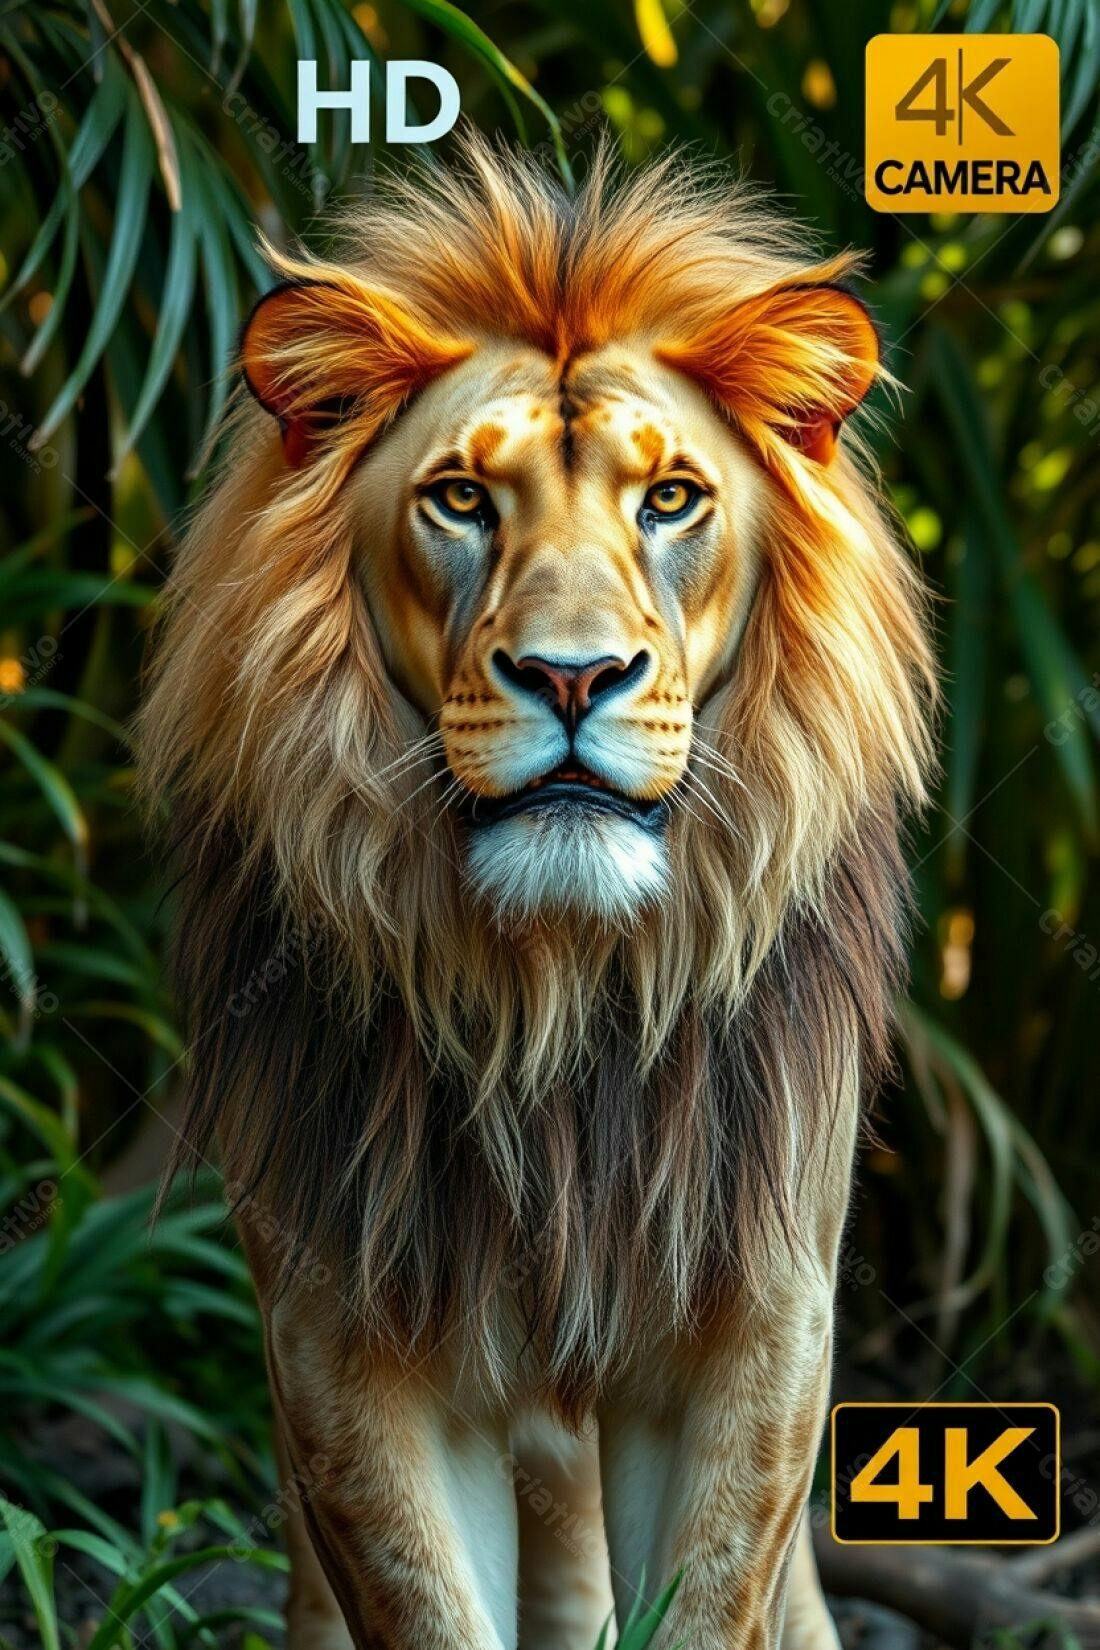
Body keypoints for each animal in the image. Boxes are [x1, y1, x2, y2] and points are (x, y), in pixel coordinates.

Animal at [140, 135, 934, 1650]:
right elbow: (425, 1603)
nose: (574, 677)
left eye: (669, 498)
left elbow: (710, 1598)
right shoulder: (339, 1331)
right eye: (462, 497)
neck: (557, 988)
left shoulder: (762, 1323)